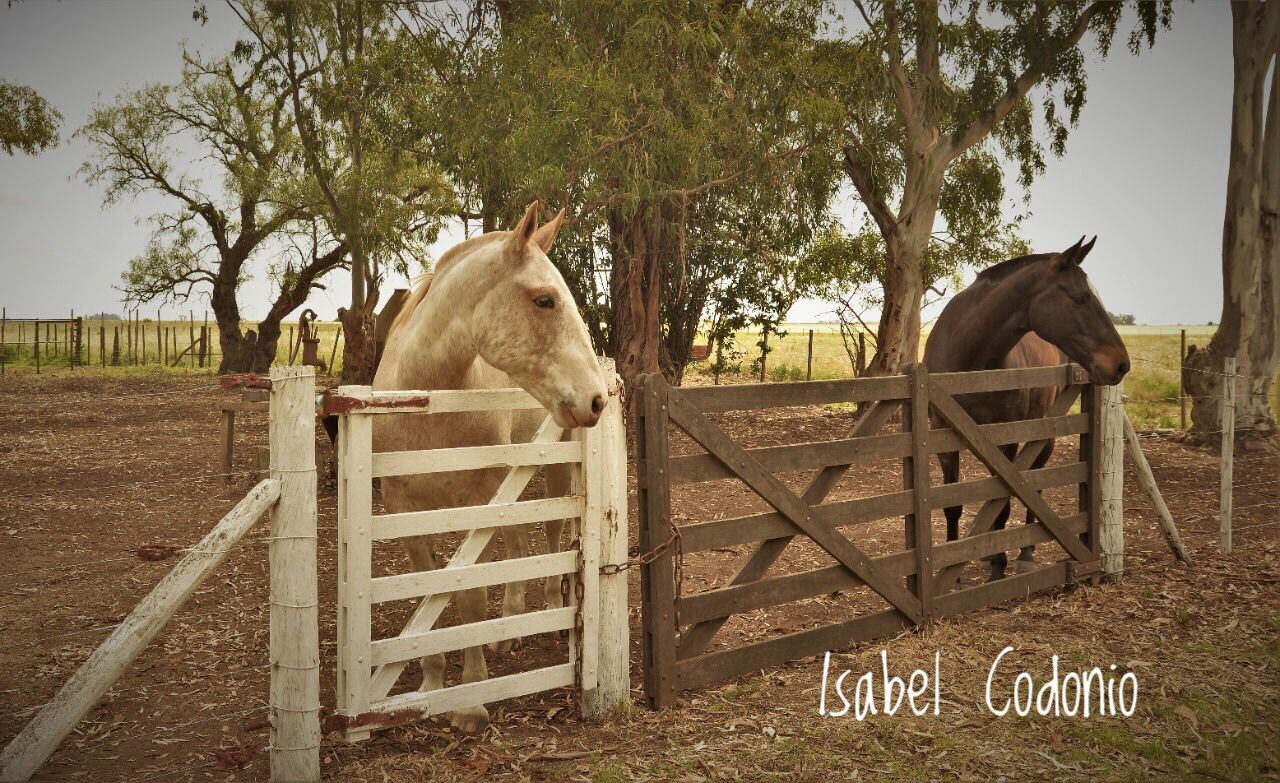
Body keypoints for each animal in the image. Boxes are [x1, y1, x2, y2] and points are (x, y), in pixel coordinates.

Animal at [373, 202, 606, 731]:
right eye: (545, 301)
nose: (597, 398)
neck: (427, 406)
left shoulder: (475, 505)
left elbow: (469, 599)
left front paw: (470, 701)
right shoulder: (405, 512)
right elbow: (428, 596)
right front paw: (431, 682)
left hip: (553, 473)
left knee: (551, 536)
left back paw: (549, 609)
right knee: (518, 544)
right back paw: (509, 625)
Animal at [921, 236, 1131, 580]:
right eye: (1080, 297)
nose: (1121, 364)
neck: (970, 359)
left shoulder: (1007, 438)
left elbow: (1004, 502)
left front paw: (999, 565)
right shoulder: (944, 436)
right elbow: (953, 505)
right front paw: (953, 569)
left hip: (1041, 436)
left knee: (1035, 487)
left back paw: (1025, 554)